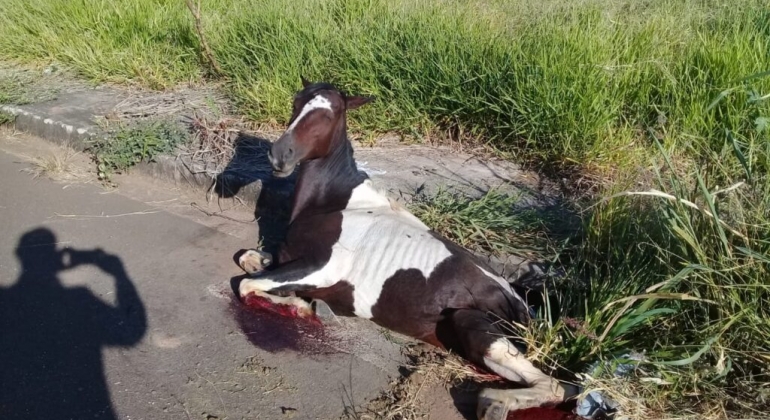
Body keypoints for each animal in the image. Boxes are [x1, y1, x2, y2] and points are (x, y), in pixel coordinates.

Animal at [234, 79, 576, 420]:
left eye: (329, 114)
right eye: (296, 103)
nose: (279, 155)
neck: (333, 204)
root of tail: (528, 311)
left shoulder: (322, 268)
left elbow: (247, 286)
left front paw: (304, 306)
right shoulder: (287, 260)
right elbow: (249, 260)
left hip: (472, 323)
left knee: (556, 385)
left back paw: (495, 403)